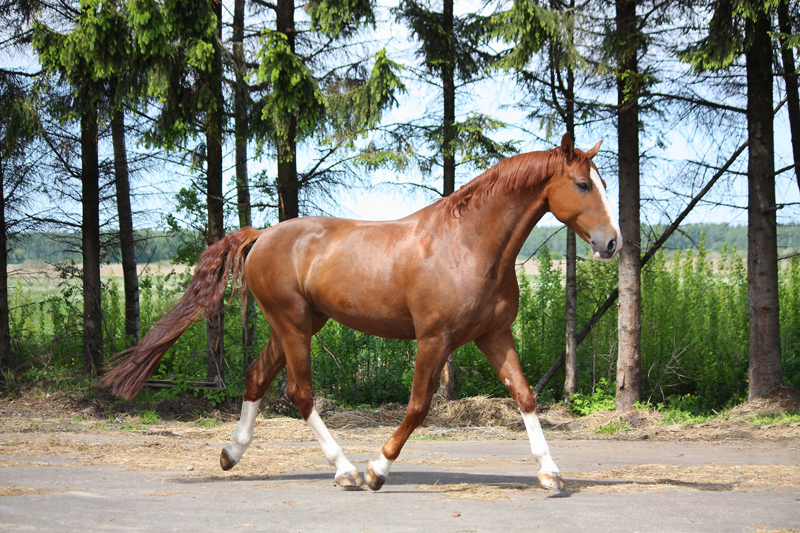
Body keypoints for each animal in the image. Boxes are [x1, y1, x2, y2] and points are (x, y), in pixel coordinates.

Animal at [102, 133, 622, 492]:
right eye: (582, 184)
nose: (611, 243)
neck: (469, 245)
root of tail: (261, 235)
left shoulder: (493, 335)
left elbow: (525, 398)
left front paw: (551, 474)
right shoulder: (433, 339)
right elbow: (417, 407)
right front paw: (377, 469)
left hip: (297, 324)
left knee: (256, 377)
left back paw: (232, 453)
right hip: (292, 324)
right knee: (299, 393)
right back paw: (347, 470)